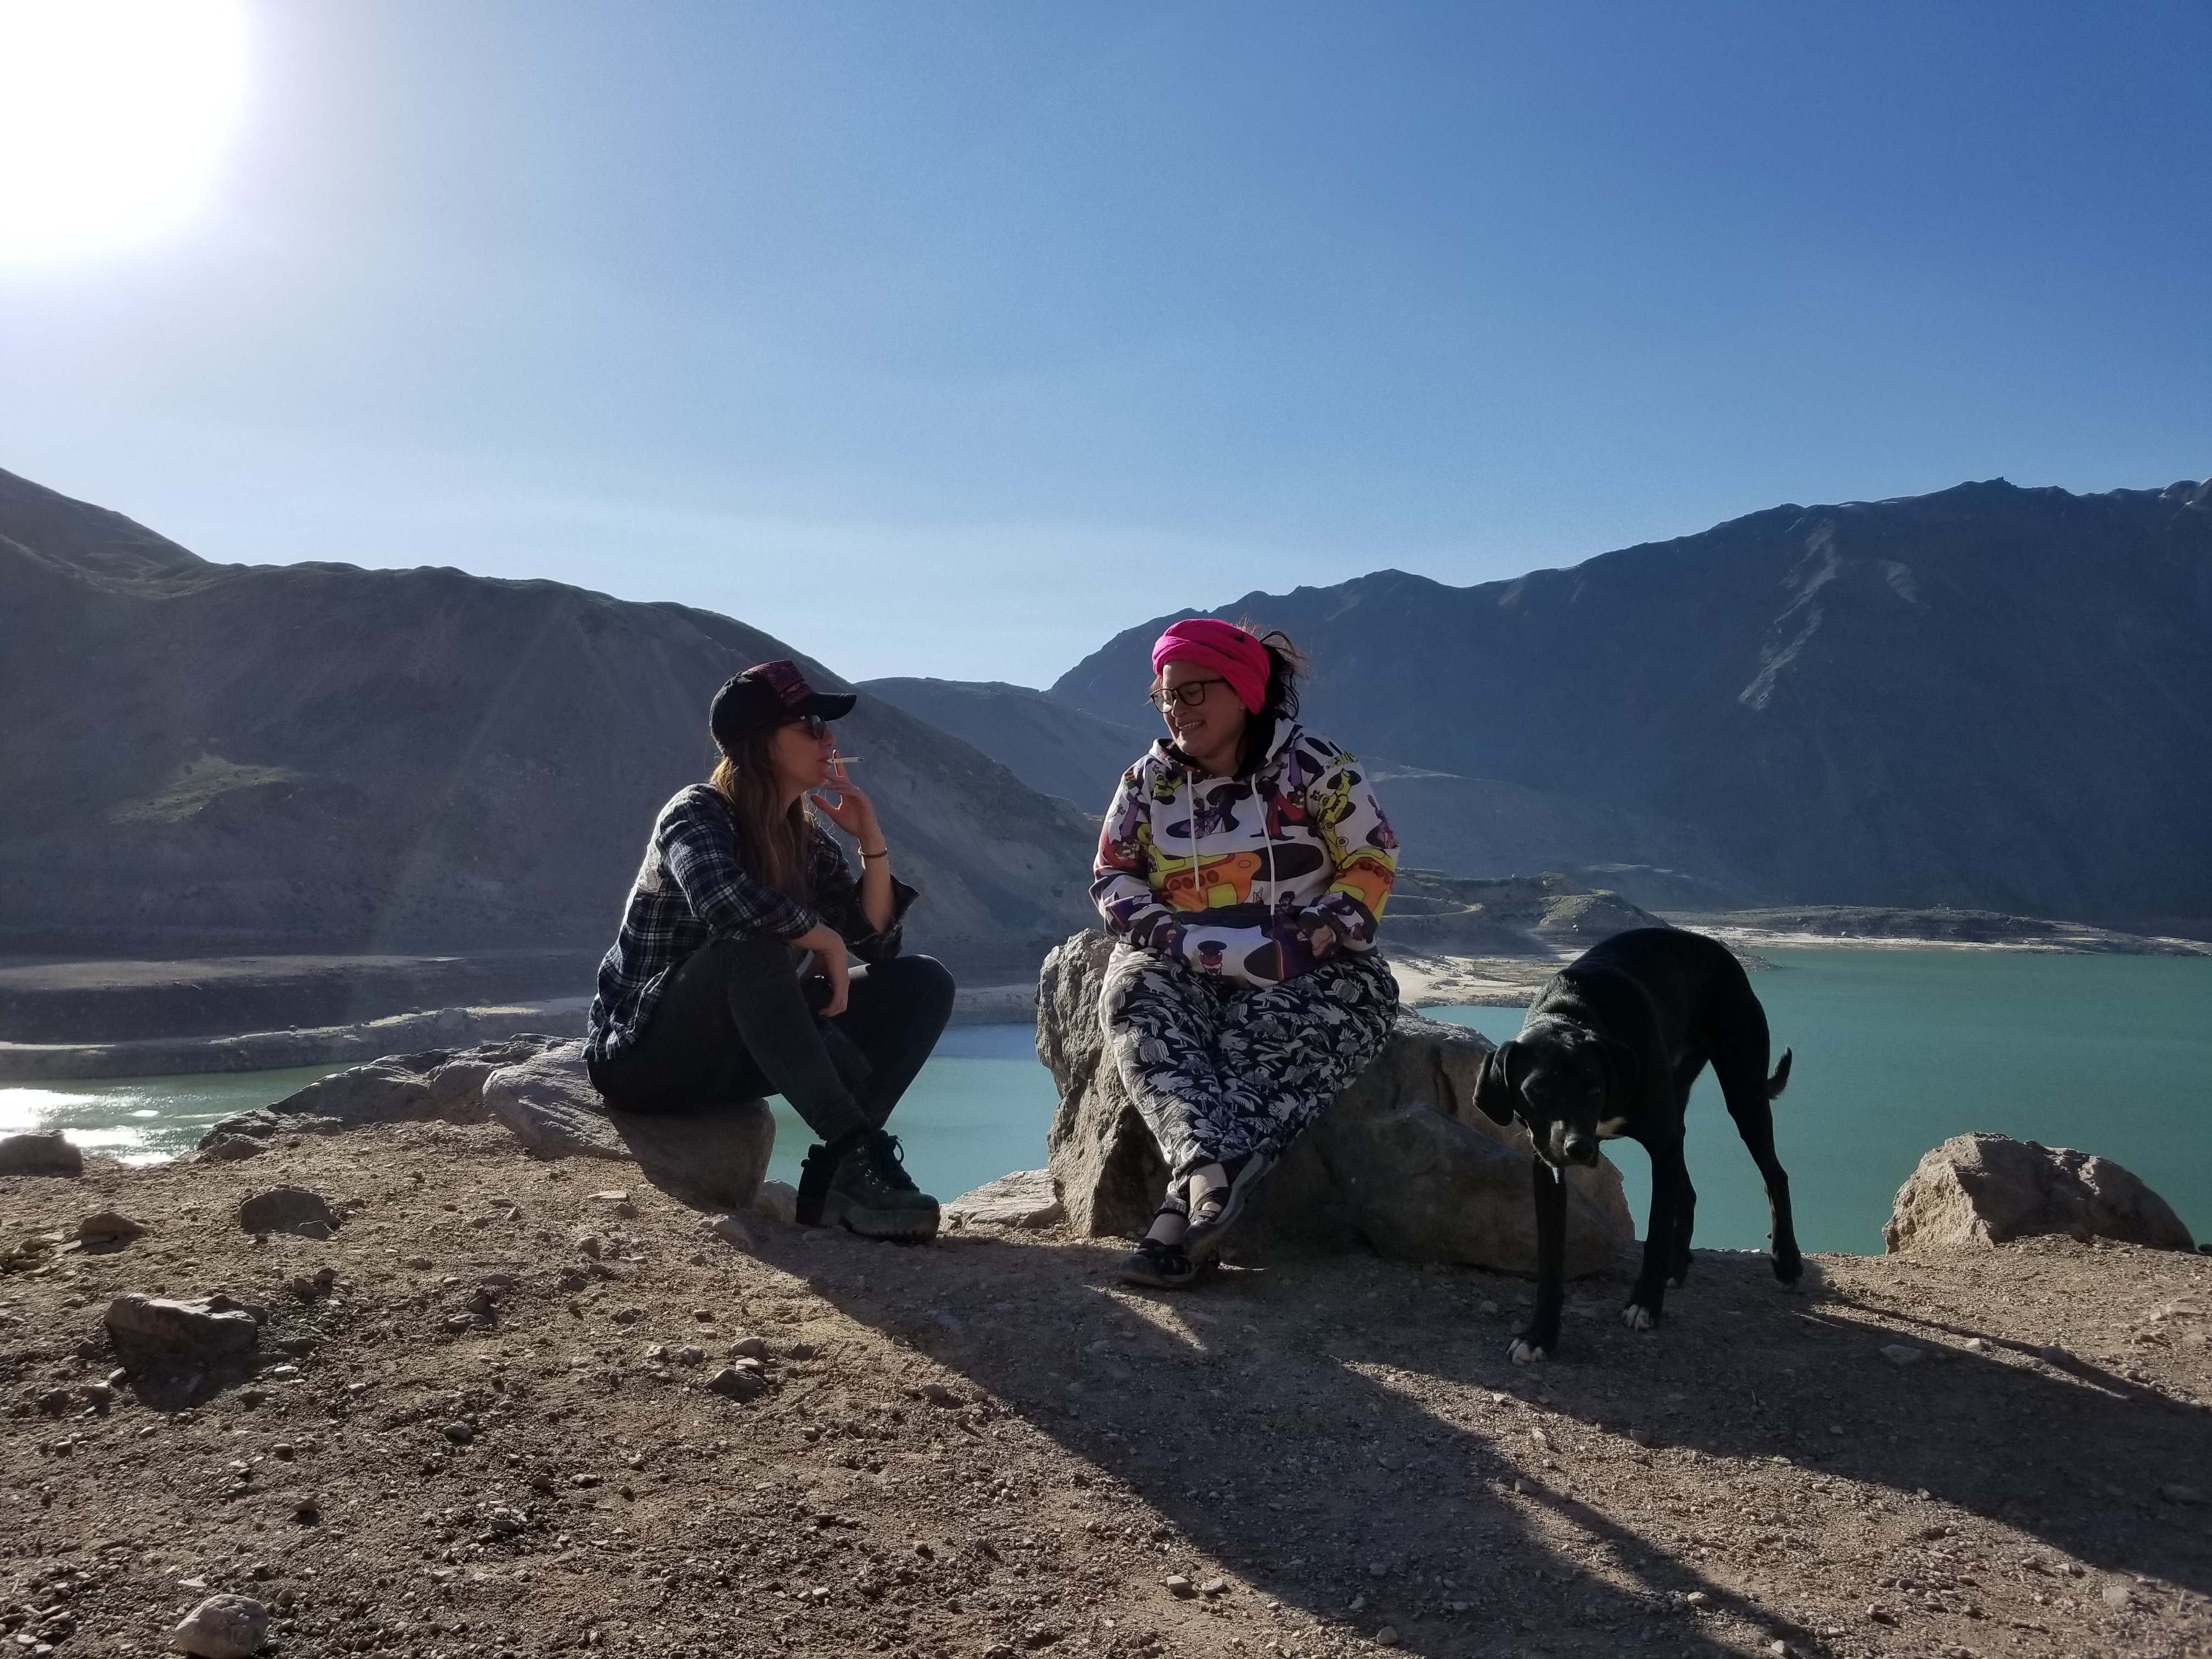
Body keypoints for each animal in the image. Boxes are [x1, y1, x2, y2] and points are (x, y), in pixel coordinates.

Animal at [1469, 924, 1796, 1362]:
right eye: (1536, 1090)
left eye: (1594, 1088)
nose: (1578, 1149)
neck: (1569, 1012)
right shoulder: (1546, 1163)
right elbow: (1551, 1256)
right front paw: (1540, 1335)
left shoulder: (1660, 1143)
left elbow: (1656, 1231)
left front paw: (1645, 1305)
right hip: (1681, 1110)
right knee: (1688, 1191)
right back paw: (1678, 1265)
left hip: (1743, 1090)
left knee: (1775, 1174)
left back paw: (1787, 1262)